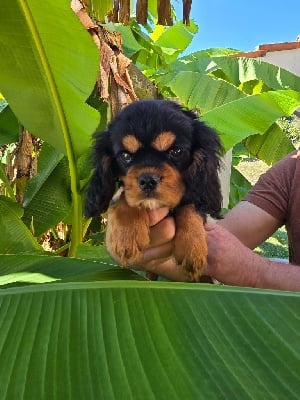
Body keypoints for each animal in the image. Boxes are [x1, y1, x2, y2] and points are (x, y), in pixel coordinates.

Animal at [85, 99, 223, 282]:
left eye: (175, 151)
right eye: (125, 156)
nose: (148, 180)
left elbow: (190, 207)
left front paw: (193, 249)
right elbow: (124, 198)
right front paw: (126, 236)